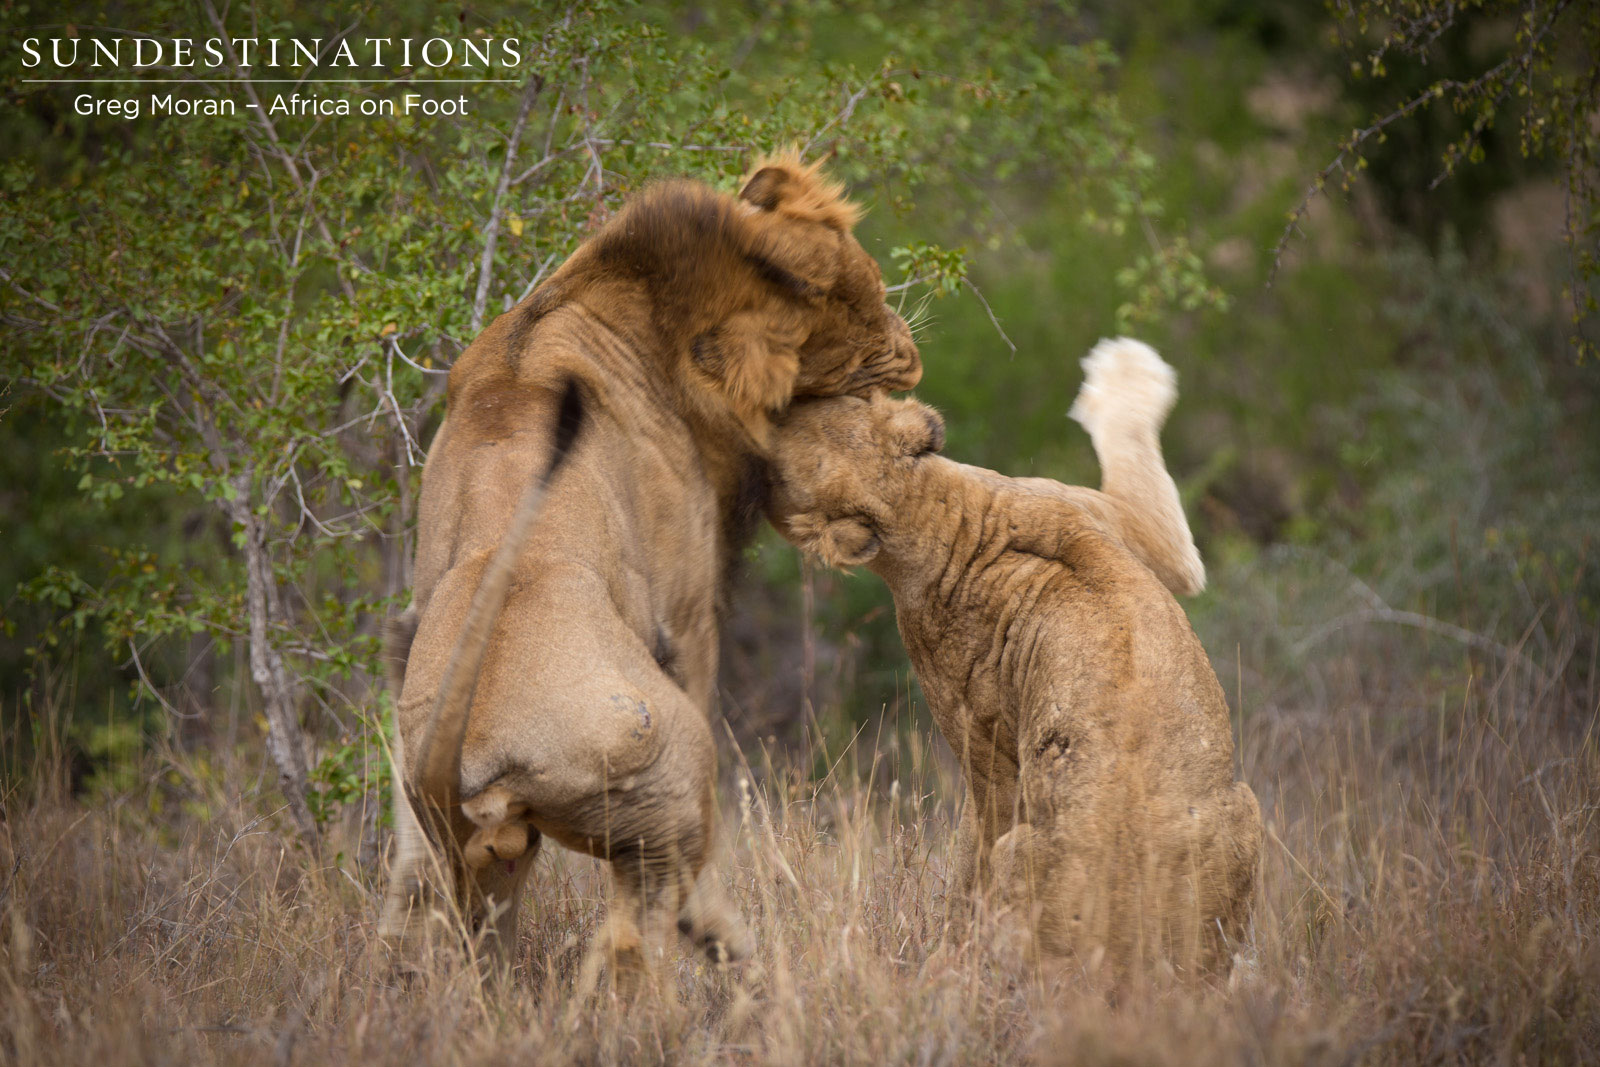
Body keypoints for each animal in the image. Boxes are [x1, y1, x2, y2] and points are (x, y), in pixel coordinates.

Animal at [379, 150, 921, 979]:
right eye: (866, 307)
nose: (914, 350)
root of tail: (460, 745)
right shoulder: (690, 614)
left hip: (455, 829)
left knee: (435, 919)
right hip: (667, 775)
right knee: (642, 930)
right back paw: (733, 960)